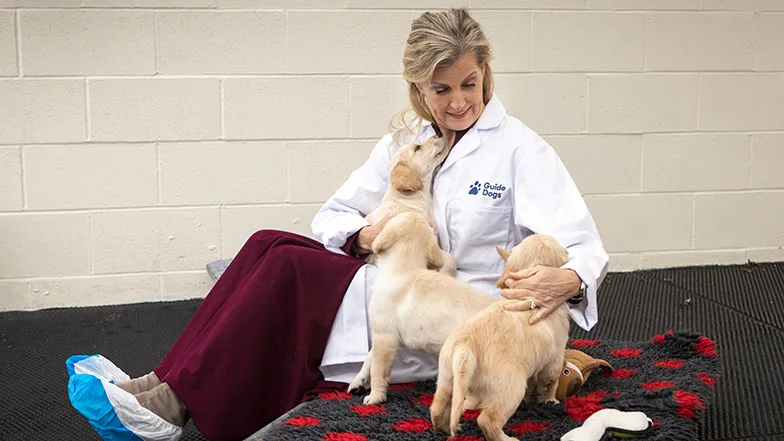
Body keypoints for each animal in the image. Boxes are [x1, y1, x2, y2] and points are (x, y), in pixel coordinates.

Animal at [354, 211, 496, 404]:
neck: (404, 268)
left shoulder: (385, 338)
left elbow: (378, 369)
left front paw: (375, 396)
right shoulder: (385, 335)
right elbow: (370, 357)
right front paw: (359, 380)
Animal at [428, 234, 568, 440]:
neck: (522, 298)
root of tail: (465, 346)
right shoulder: (554, 359)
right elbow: (549, 382)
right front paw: (550, 401)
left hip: (447, 378)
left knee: (438, 408)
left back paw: (448, 428)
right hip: (510, 388)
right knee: (487, 420)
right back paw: (507, 438)